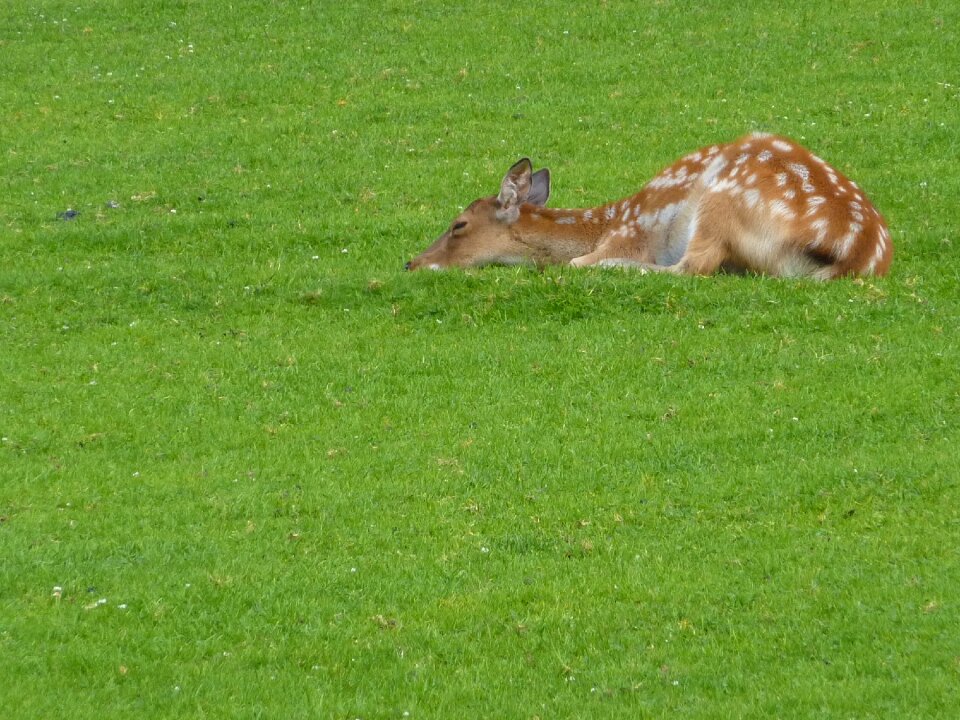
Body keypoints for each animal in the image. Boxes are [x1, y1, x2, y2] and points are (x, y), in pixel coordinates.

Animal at [404, 134, 892, 280]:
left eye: (459, 224)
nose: (412, 262)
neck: (602, 225)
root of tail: (857, 252)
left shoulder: (631, 233)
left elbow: (578, 262)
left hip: (722, 199)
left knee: (693, 267)